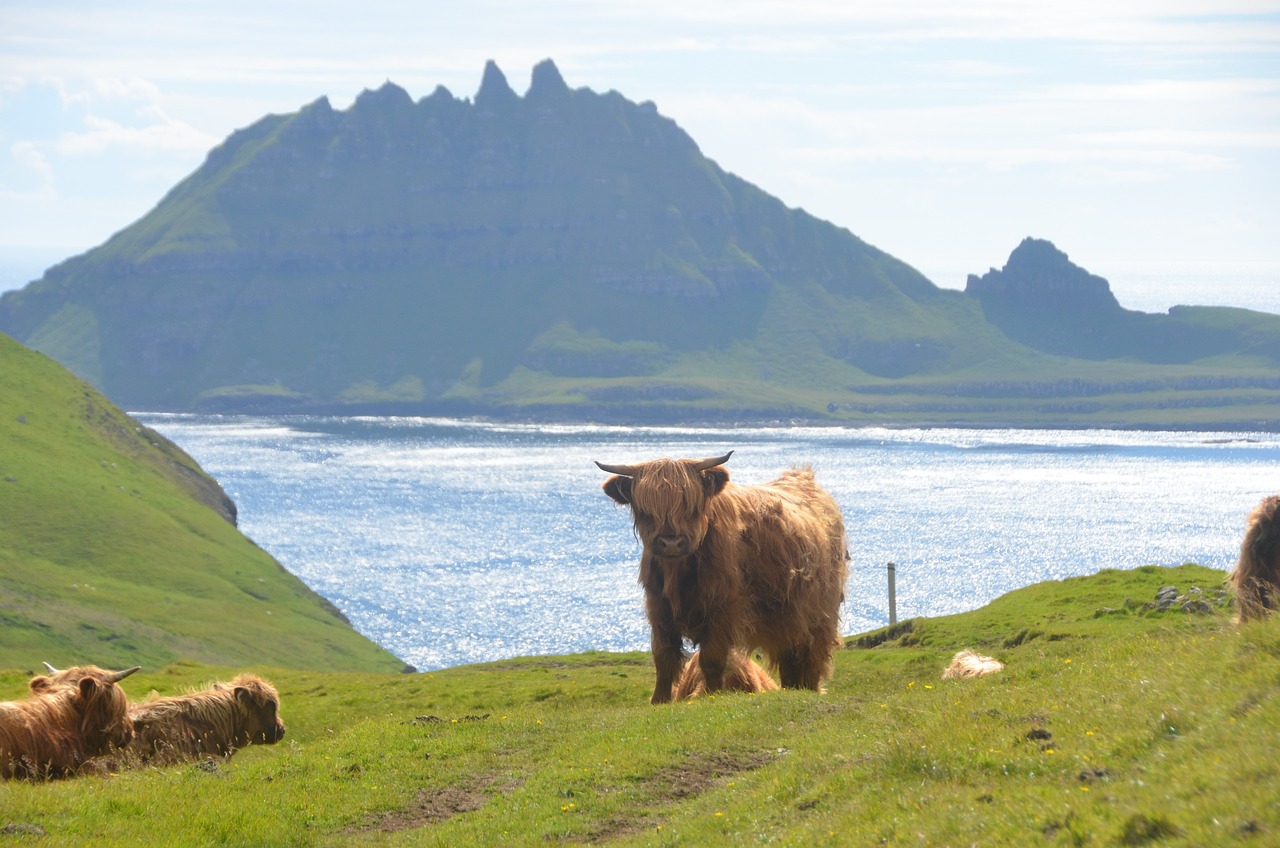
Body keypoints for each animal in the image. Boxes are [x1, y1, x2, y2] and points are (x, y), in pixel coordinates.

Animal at [599, 456, 849, 707]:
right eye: (646, 510)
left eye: (691, 506)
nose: (671, 543)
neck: (678, 573)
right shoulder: (658, 606)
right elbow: (663, 657)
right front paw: (659, 701)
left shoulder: (723, 608)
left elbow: (712, 658)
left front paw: (711, 696)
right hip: (787, 618)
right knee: (791, 656)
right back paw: (793, 689)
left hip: (820, 613)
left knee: (812, 654)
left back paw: (809, 689)